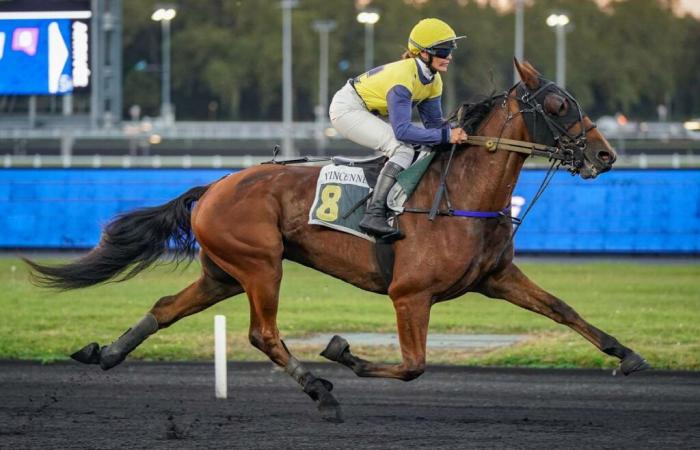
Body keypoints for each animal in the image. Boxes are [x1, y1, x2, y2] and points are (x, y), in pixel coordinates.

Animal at [27, 61, 652, 424]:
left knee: (165, 307)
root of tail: (214, 186)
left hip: (223, 272)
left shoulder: (497, 278)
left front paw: (628, 355)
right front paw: (341, 352)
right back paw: (320, 390)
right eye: (558, 106)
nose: (604, 156)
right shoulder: (409, 294)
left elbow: (565, 309)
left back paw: (105, 353)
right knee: (263, 334)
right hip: (261, 266)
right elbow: (414, 365)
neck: (460, 193)